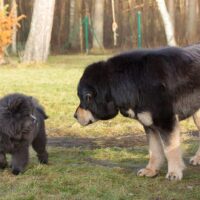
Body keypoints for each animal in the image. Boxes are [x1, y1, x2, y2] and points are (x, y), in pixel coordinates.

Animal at [74, 44, 200, 180]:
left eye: (85, 97)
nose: (74, 115)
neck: (132, 81)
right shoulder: (149, 125)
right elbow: (154, 150)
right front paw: (151, 170)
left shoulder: (166, 120)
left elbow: (170, 148)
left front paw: (174, 173)